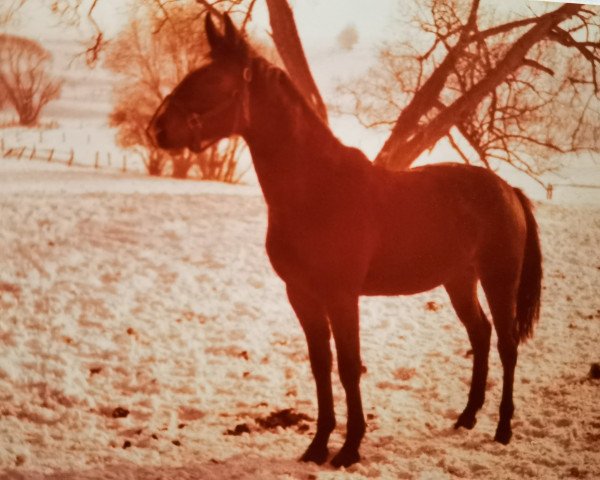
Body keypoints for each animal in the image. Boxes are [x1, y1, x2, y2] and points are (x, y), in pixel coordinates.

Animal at [148, 13, 540, 466]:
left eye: (211, 80)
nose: (157, 129)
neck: (317, 190)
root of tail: (507, 189)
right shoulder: (301, 294)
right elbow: (321, 365)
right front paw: (318, 444)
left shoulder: (341, 296)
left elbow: (350, 367)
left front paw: (350, 448)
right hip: (459, 279)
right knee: (480, 334)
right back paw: (466, 417)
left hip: (498, 279)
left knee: (507, 344)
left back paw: (503, 428)